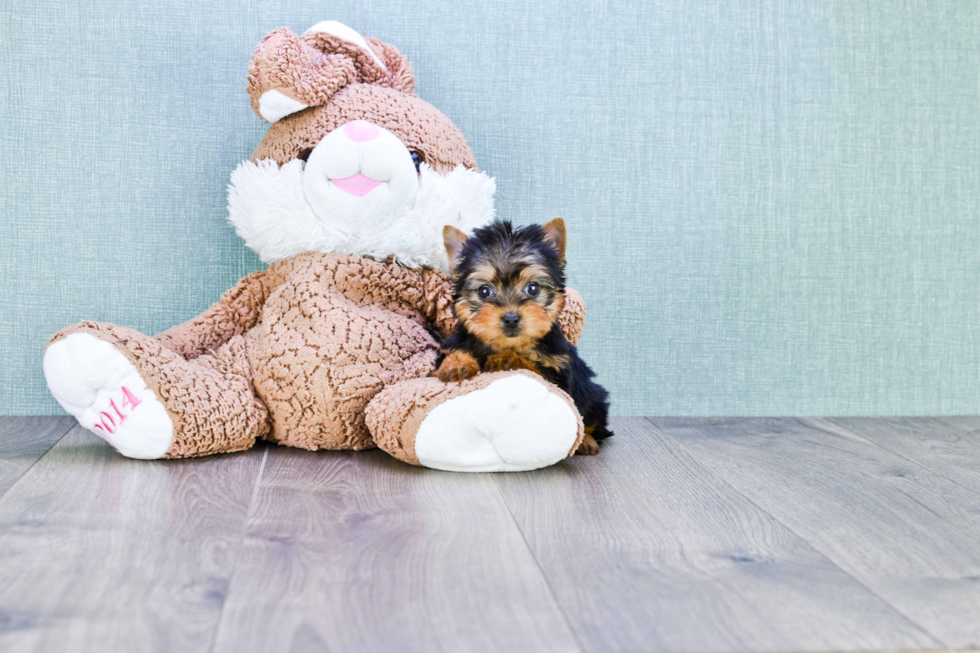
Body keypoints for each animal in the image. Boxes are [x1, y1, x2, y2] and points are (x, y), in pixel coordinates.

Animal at [432, 219, 608, 454]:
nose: (511, 318)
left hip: (593, 395)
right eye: (484, 291)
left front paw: (506, 359)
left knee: (591, 419)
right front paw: (457, 363)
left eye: (532, 288)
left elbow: (534, 367)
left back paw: (586, 441)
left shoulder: (558, 372)